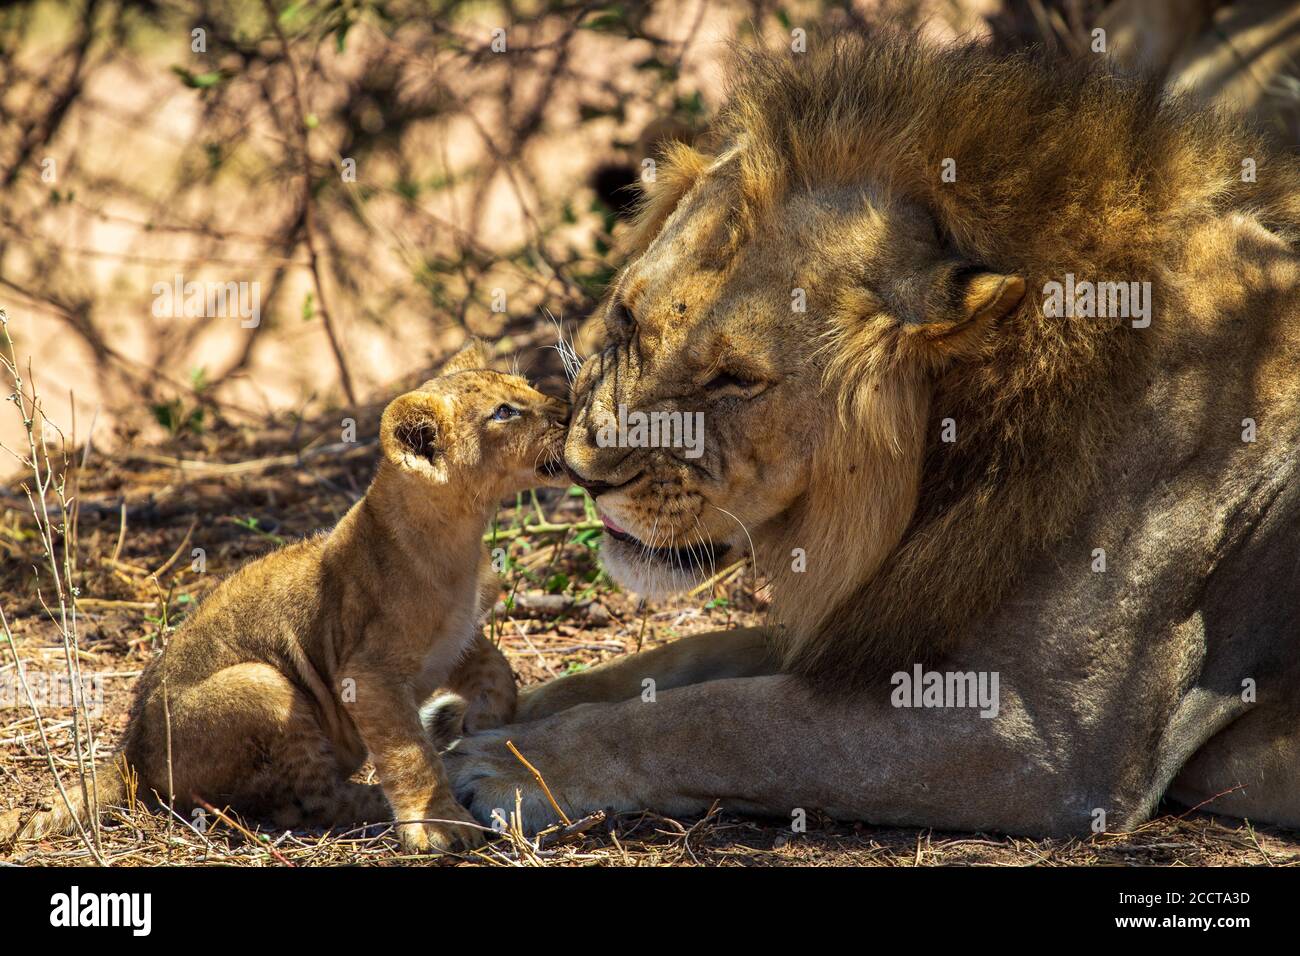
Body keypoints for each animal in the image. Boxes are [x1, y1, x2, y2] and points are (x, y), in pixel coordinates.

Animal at [443, 32, 1300, 839]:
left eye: (734, 380)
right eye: (624, 316)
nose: (583, 474)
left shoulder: (1047, 742)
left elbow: (726, 720)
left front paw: (511, 764)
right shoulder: (878, 617)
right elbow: (689, 658)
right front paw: (485, 707)